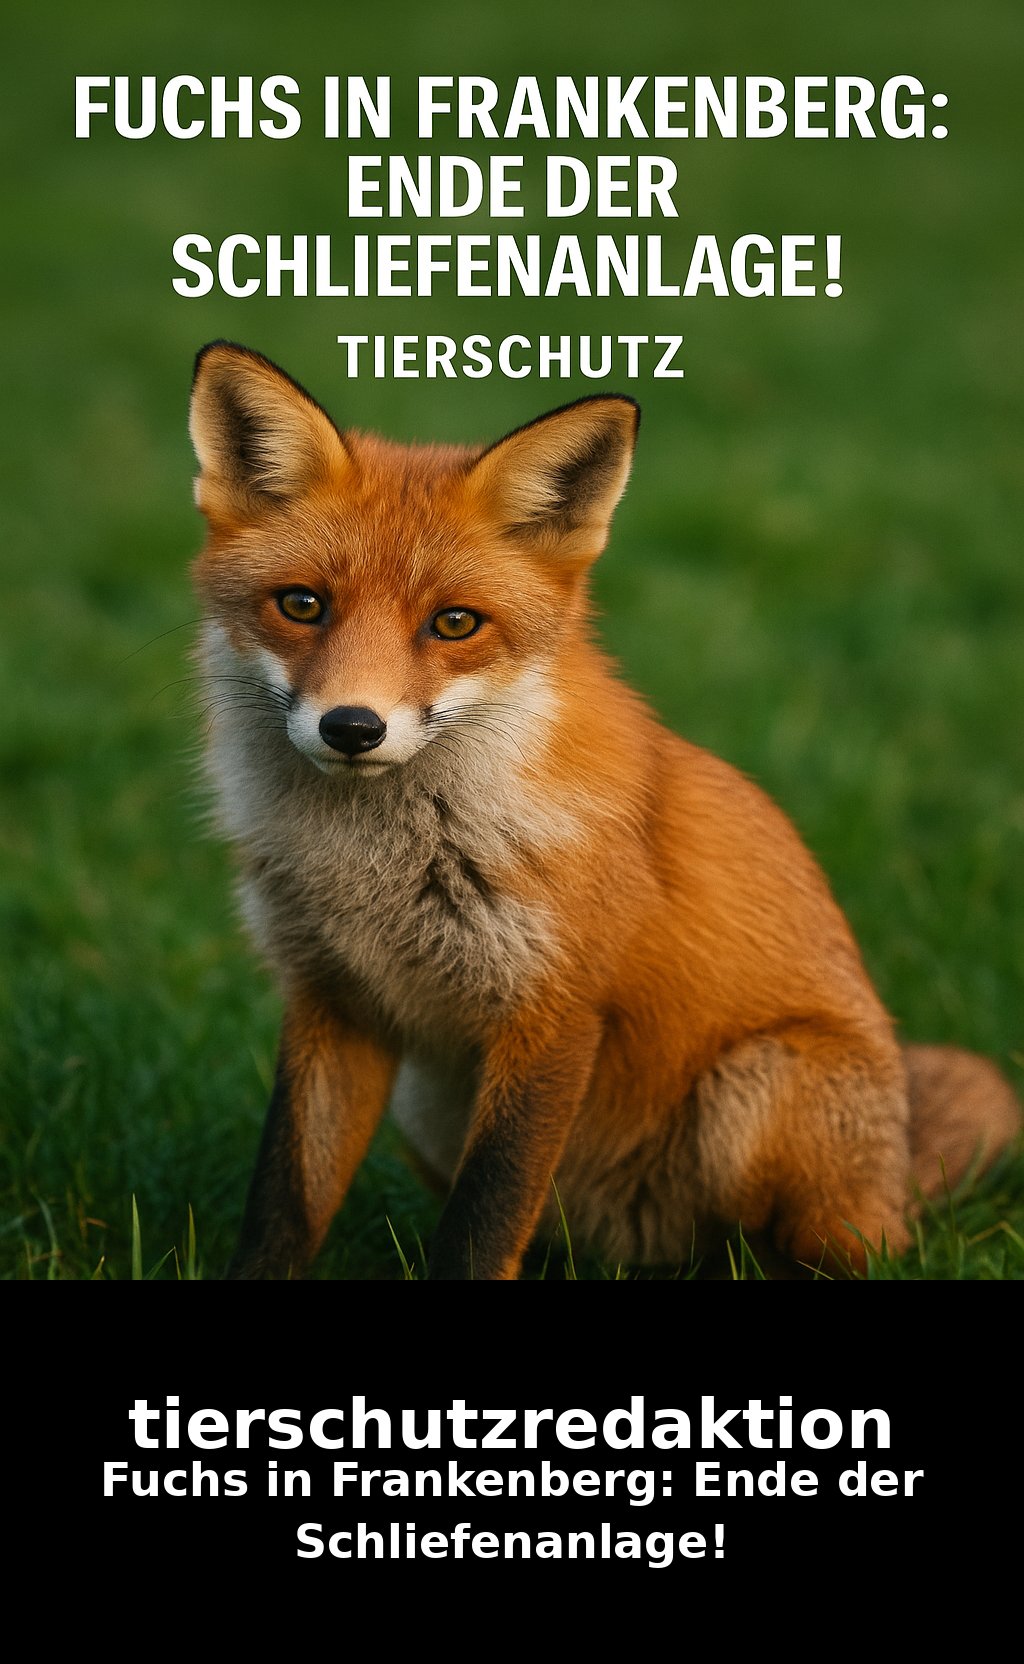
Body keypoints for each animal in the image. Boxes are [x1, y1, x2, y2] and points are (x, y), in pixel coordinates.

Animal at [188, 340, 1020, 1279]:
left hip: (757, 1095)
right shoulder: (332, 1000)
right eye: (302, 604)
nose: (353, 727)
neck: (375, 866)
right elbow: (285, 1203)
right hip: (430, 1107)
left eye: (455, 624)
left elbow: (483, 1220)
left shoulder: (553, 1015)